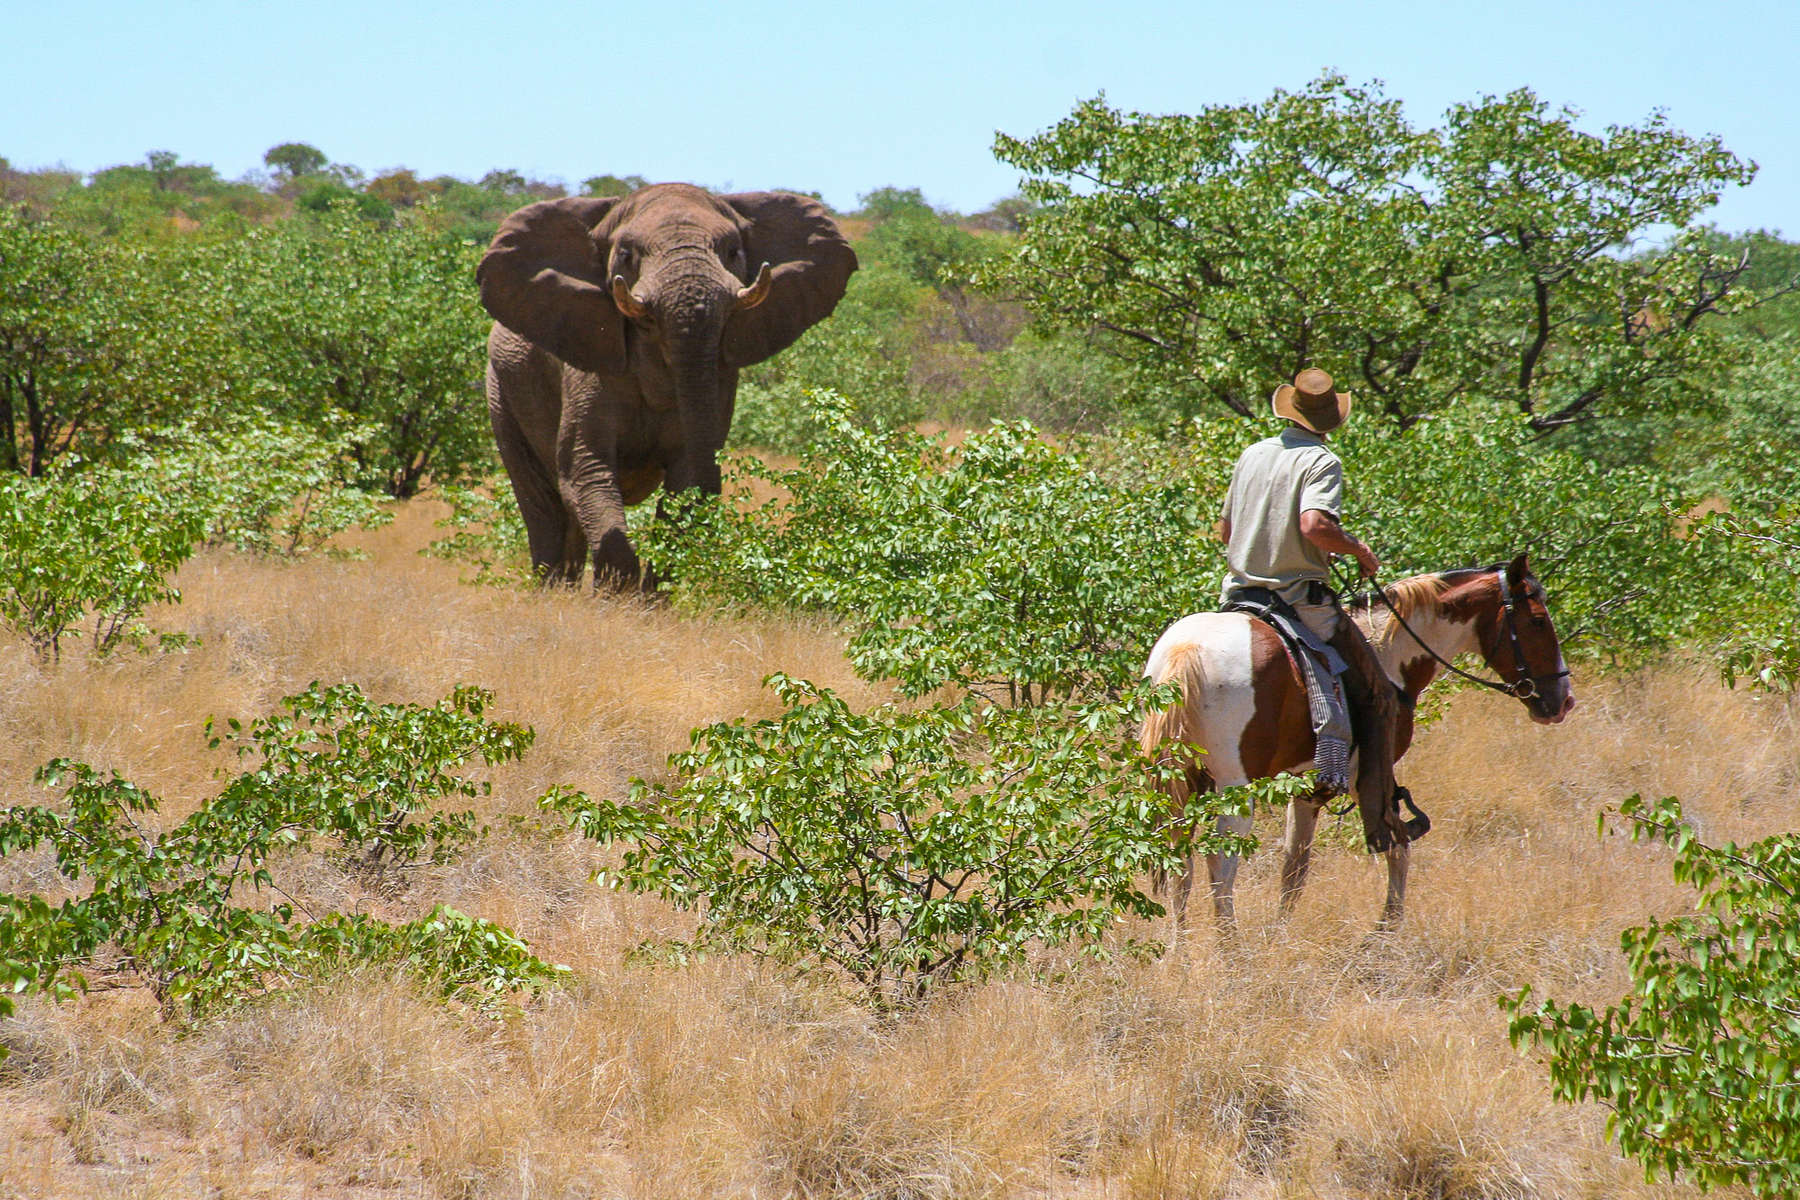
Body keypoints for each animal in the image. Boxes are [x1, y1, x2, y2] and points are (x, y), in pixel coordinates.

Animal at [471, 181, 849, 586]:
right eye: (625, 255)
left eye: (733, 251)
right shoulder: (586, 367)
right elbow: (585, 470)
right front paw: (615, 596)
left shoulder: (719, 377)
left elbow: (685, 480)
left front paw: (646, 597)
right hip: (500, 389)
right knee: (544, 505)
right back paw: (551, 590)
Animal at [1144, 554, 1569, 928]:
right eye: (1537, 620)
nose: (1563, 699)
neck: (1387, 651)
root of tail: (1188, 650)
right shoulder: (1364, 774)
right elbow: (1397, 845)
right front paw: (1387, 929)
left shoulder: (1303, 788)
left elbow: (1294, 867)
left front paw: (1280, 931)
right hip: (1235, 787)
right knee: (1221, 861)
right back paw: (1228, 945)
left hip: (1179, 783)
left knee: (1178, 860)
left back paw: (1179, 945)